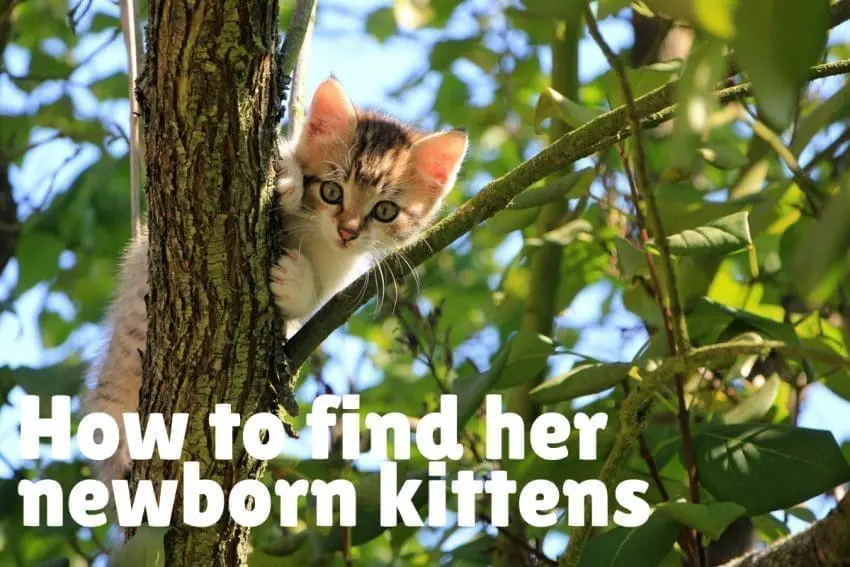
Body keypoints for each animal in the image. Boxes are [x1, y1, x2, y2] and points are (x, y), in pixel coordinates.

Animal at [85, 77, 468, 482]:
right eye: (331, 191)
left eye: (385, 211)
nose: (347, 232)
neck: (314, 235)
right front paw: (287, 180)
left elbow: (312, 302)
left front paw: (295, 282)